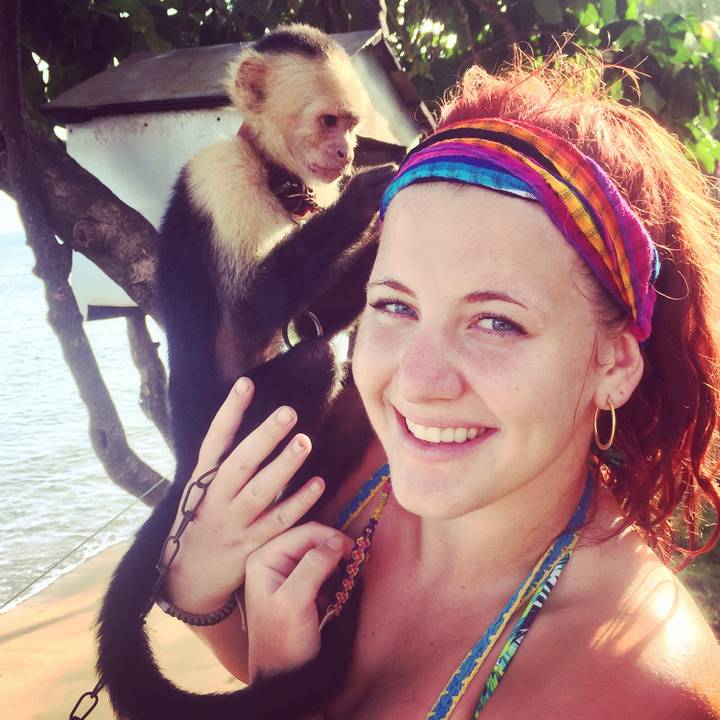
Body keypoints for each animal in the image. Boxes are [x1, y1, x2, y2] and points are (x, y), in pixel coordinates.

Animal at [93, 24, 397, 720]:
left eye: (352, 124)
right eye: (330, 122)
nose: (346, 153)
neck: (274, 172)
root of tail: (185, 455)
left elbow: (320, 311)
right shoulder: (220, 174)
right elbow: (256, 307)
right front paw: (370, 194)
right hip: (230, 428)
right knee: (318, 358)